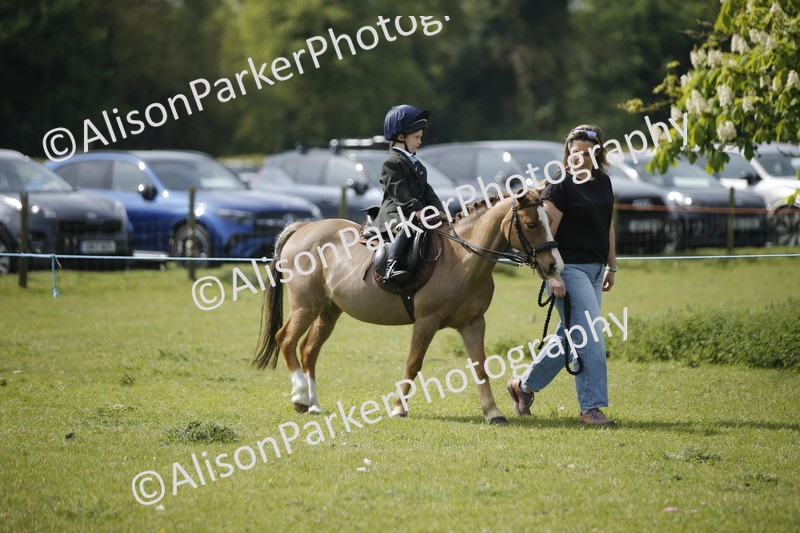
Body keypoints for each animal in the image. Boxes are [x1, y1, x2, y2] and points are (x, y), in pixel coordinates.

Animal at [253, 188, 563, 424]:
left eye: (550, 221)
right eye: (532, 224)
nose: (554, 266)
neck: (461, 258)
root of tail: (304, 227)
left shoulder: (473, 322)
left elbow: (480, 366)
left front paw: (493, 413)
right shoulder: (426, 321)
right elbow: (413, 363)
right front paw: (398, 408)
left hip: (329, 310)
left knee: (308, 349)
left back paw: (313, 404)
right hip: (306, 305)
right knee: (286, 339)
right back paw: (299, 397)